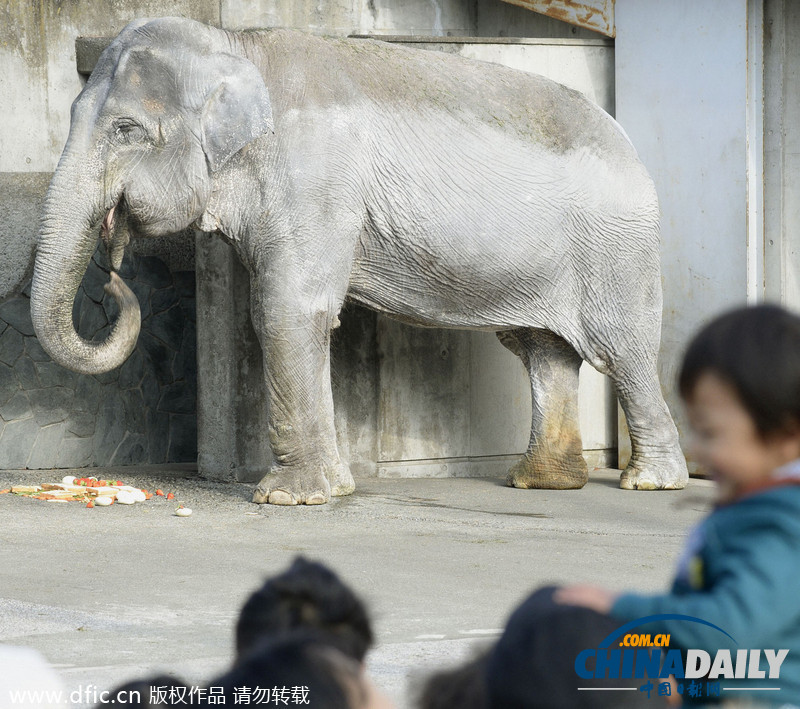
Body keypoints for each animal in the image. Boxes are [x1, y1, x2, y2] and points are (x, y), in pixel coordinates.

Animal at [32, 16, 688, 504]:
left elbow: (286, 309)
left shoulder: (315, 175)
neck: (237, 44)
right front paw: (332, 489)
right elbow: (299, 316)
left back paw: (650, 482)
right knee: (539, 349)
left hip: (617, 247)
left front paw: (289, 497)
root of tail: (629, 143)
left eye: (126, 130)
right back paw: (540, 482)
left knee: (620, 348)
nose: (113, 274)